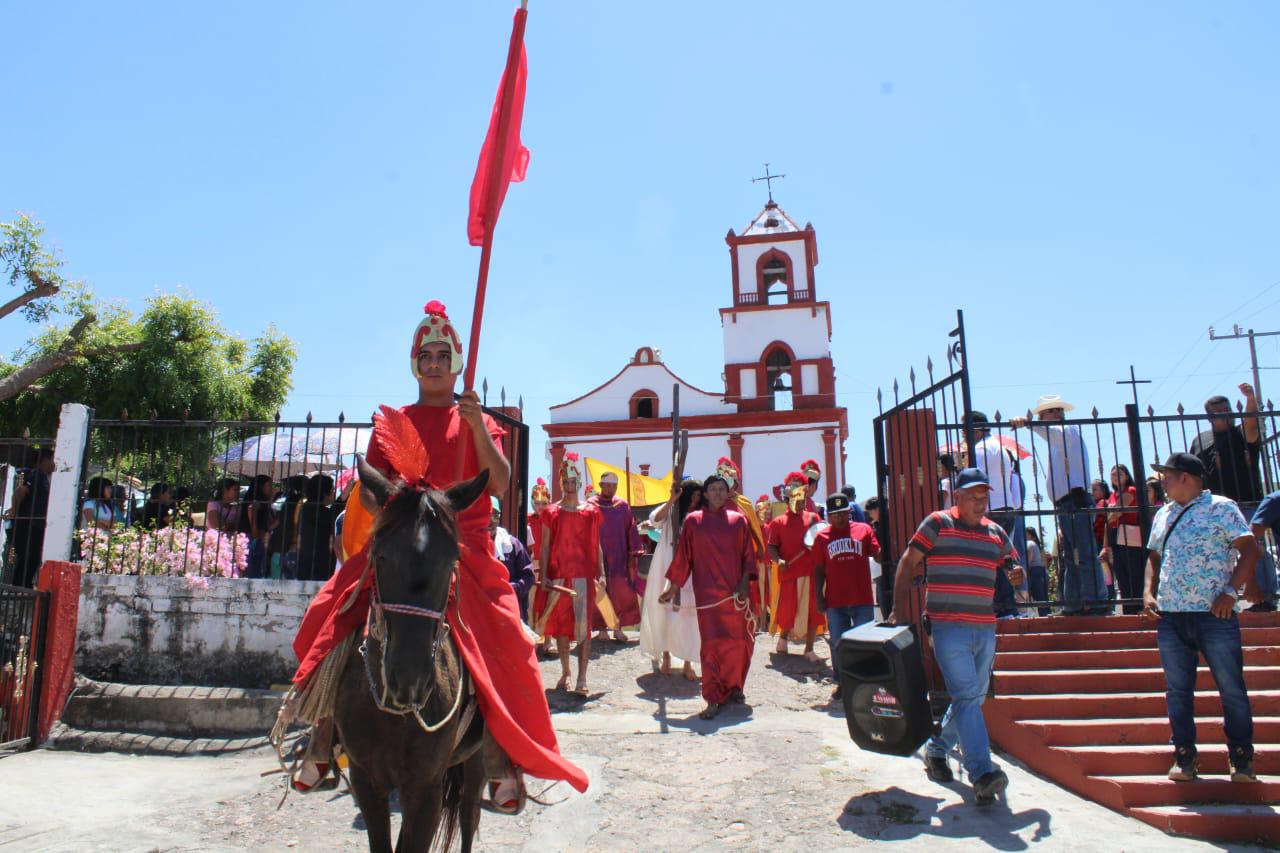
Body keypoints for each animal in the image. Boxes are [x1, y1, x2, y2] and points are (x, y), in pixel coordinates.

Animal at [332, 458, 491, 850]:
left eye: (452, 559)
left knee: (469, 815)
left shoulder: (424, 789)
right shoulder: (366, 781)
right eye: (380, 553)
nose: (410, 680)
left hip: (476, 758)